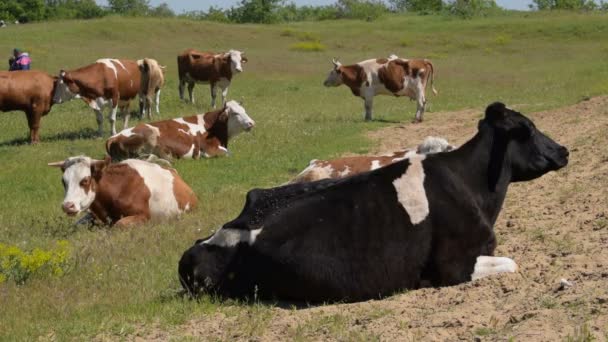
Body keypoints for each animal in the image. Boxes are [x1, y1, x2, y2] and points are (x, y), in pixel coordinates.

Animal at [107, 100, 254, 162]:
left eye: (244, 111)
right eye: (235, 113)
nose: (251, 123)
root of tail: (113, 137)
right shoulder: (210, 149)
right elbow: (229, 153)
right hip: (151, 134)